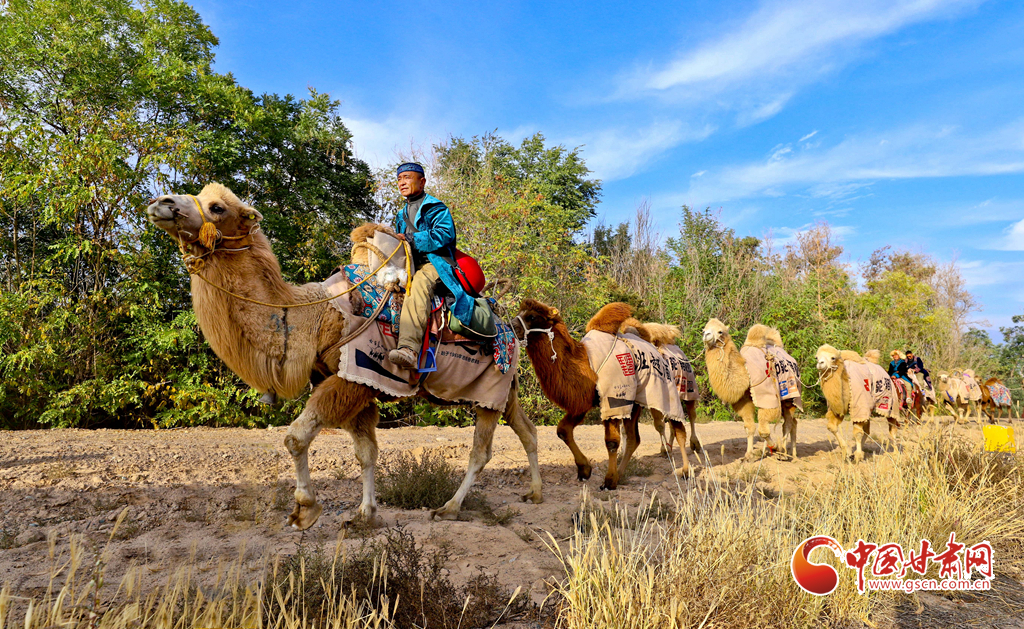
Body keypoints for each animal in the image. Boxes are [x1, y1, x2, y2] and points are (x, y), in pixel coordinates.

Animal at [146, 183, 542, 530]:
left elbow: (296, 438)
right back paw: (534, 494)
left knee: (481, 452)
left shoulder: (356, 377)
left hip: (489, 391)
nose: (161, 202)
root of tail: (510, 327)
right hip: (504, 391)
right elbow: (366, 452)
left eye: (217, 207)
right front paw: (364, 516)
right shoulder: (354, 383)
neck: (316, 317)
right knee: (527, 430)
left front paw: (305, 510)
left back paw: (449, 508)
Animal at [701, 319, 799, 460]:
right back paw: (793, 454)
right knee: (793, 422)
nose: (706, 335)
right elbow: (749, 427)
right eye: (704, 329)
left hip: (790, 396)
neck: (746, 373)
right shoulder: (744, 400)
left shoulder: (767, 398)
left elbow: (763, 431)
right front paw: (748, 455)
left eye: (720, 331)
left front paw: (775, 447)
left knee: (788, 423)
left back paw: (784, 453)